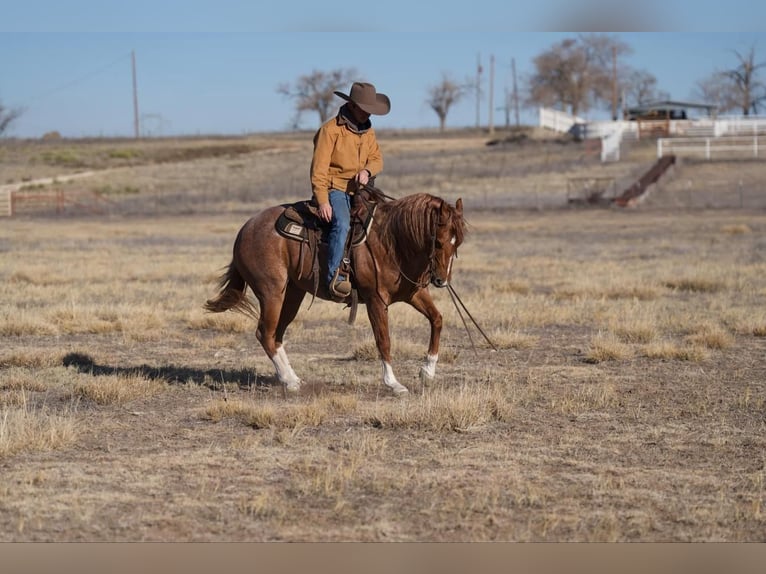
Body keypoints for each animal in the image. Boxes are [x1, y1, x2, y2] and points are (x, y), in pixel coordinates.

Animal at [204, 187, 464, 398]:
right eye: (438, 242)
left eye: (458, 242)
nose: (441, 280)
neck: (391, 241)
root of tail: (245, 229)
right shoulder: (376, 300)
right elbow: (384, 340)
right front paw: (394, 384)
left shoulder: (412, 294)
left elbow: (437, 320)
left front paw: (427, 372)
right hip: (271, 293)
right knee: (265, 333)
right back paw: (290, 381)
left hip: (293, 294)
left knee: (276, 334)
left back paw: (292, 378)